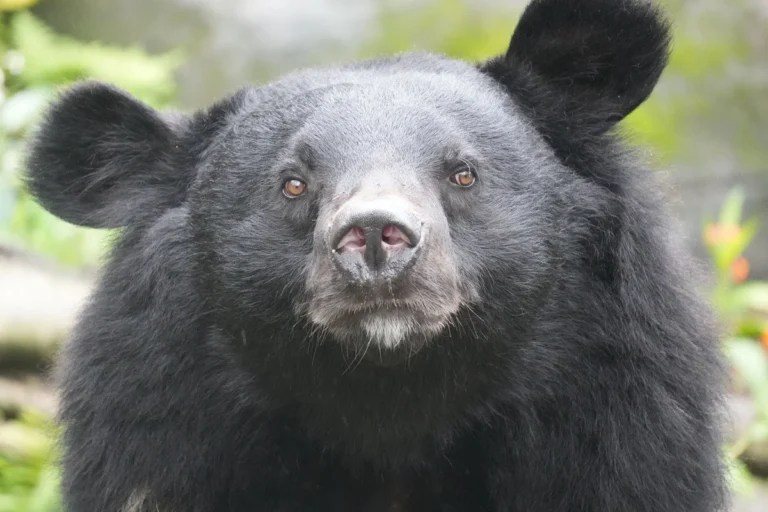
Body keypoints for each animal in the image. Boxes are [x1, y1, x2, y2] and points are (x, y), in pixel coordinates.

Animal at [24, 0, 728, 510]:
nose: (373, 234)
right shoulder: (163, 427)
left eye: (463, 172)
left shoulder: (612, 417)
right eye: (293, 183)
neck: (389, 406)